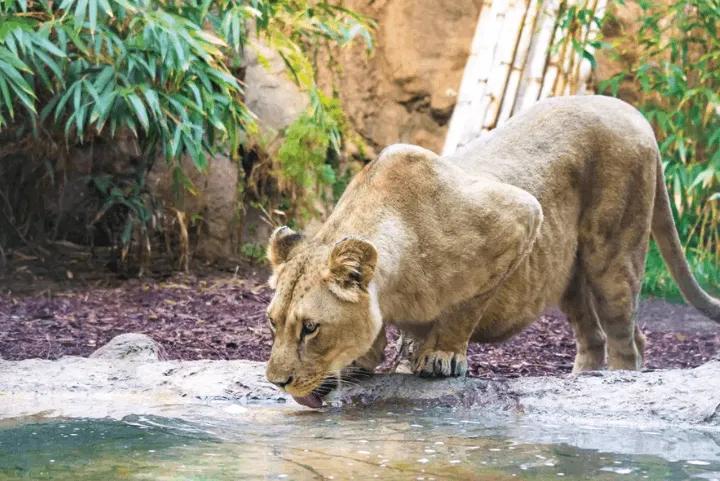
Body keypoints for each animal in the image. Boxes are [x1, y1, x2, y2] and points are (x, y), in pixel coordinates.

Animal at [264, 95, 720, 408]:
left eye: (310, 328)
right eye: (272, 323)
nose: (276, 382)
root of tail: (631, 111)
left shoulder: (518, 216)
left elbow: (464, 307)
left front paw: (442, 357)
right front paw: (364, 360)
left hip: (613, 252)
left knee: (627, 336)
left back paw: (616, 384)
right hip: (566, 276)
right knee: (593, 335)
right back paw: (579, 381)